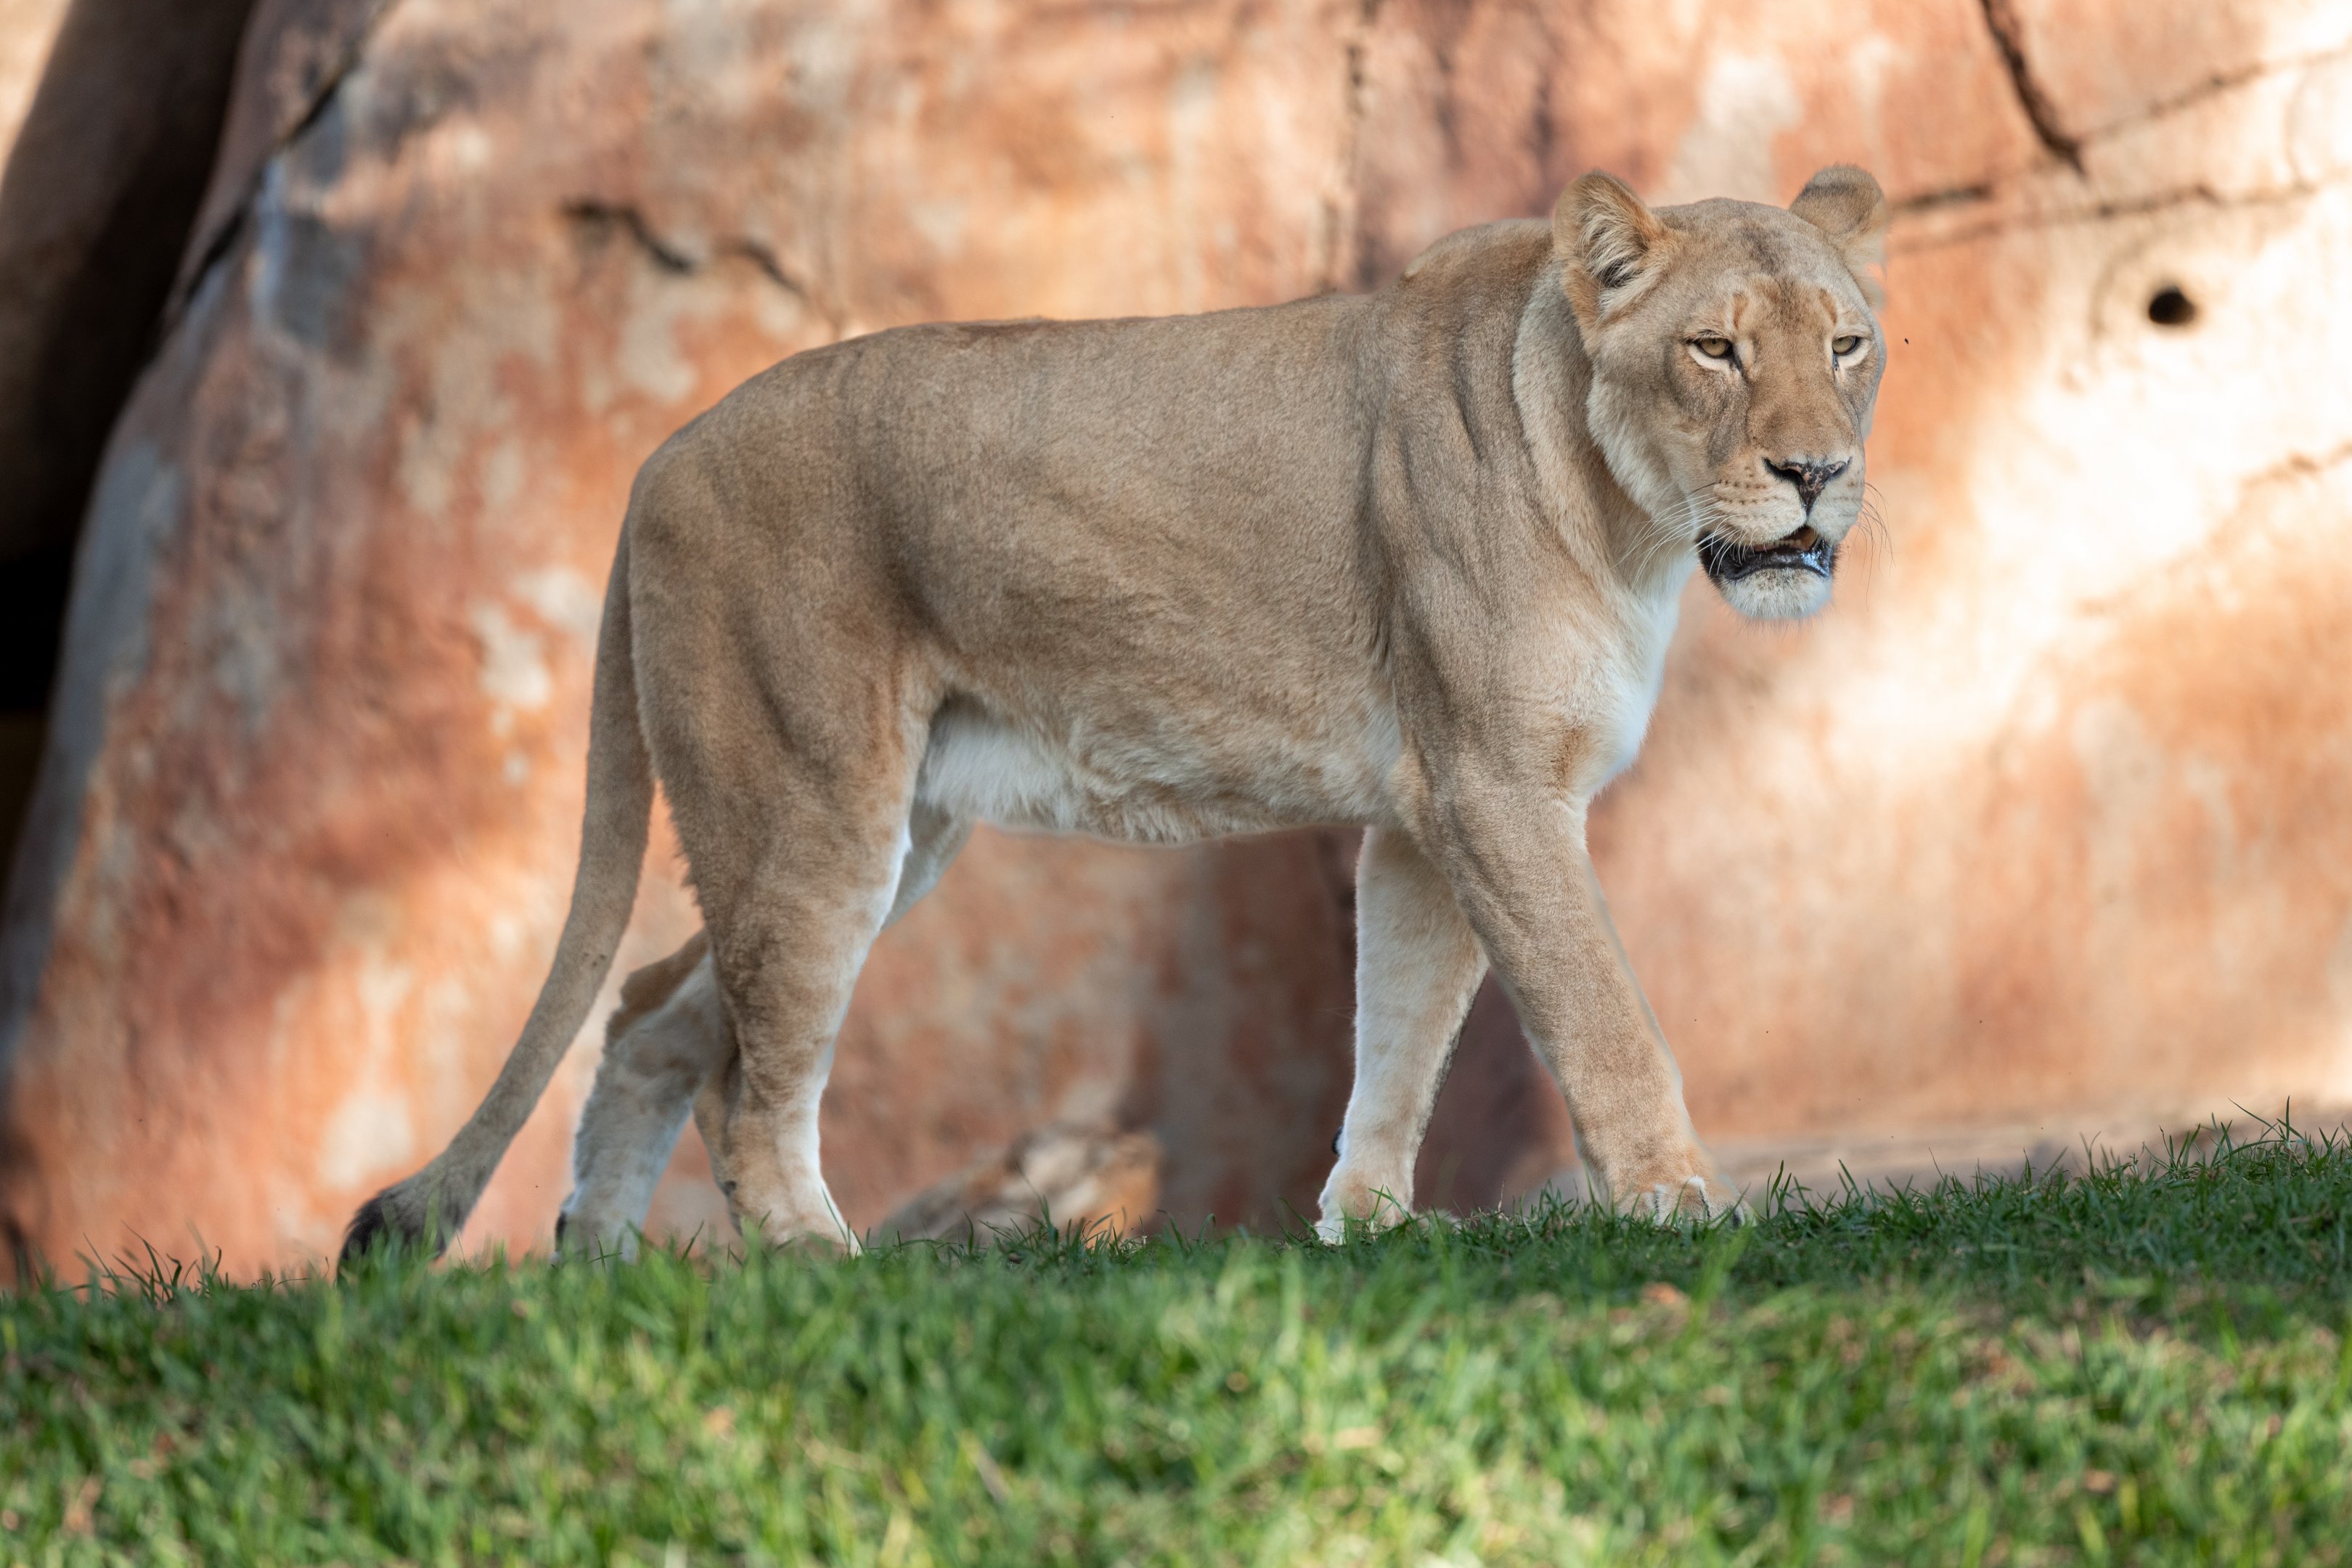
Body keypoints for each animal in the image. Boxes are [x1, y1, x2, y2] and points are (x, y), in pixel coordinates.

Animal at [341, 166, 1889, 1265]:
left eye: (1849, 346)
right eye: (1715, 350)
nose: (1816, 475)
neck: (1632, 527)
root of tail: (656, 459)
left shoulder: (1428, 811)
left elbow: (1399, 1028)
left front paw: (1370, 1225)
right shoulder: (1497, 788)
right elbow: (1603, 1011)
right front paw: (1677, 1202)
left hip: (893, 828)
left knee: (654, 1008)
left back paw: (598, 1278)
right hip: (810, 802)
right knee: (745, 1074)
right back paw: (821, 1264)